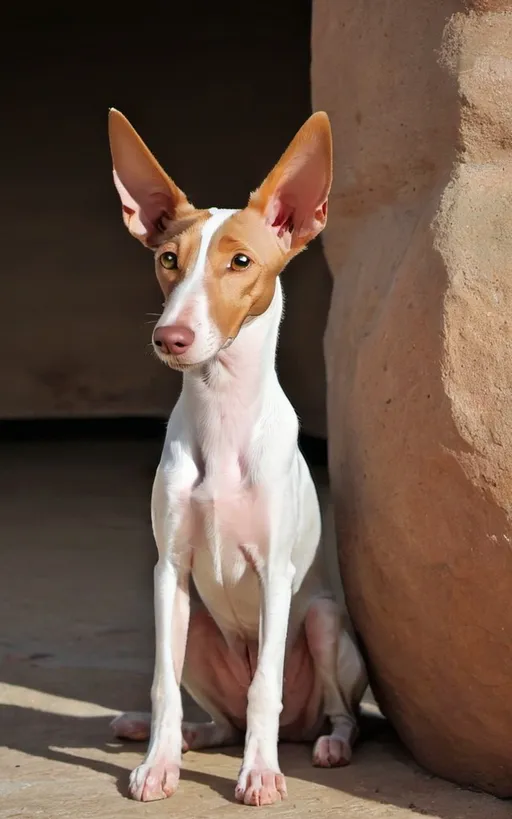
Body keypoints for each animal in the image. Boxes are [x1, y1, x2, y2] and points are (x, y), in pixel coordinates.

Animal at [107, 109, 368, 808]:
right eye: (168, 260)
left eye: (241, 261)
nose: (169, 337)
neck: (221, 413)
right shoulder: (168, 571)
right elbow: (162, 684)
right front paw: (157, 765)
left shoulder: (277, 576)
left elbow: (264, 689)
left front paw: (261, 775)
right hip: (197, 627)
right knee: (218, 719)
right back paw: (177, 738)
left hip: (323, 624)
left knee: (334, 713)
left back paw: (328, 745)